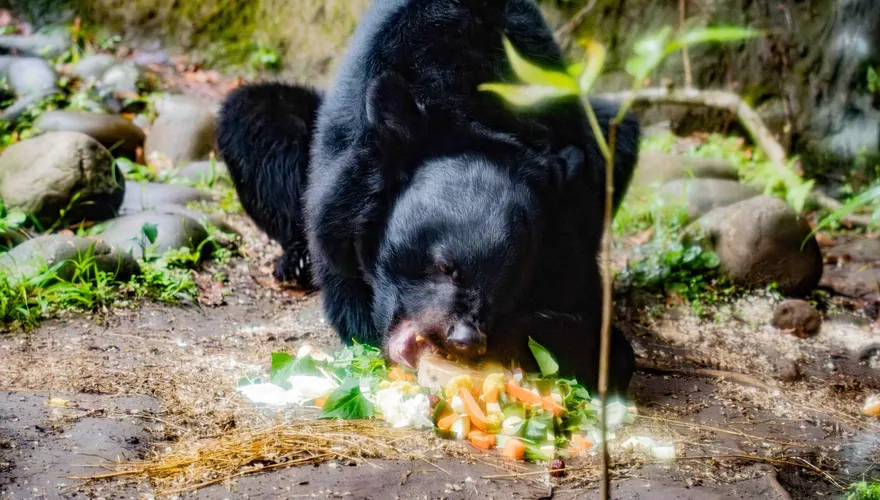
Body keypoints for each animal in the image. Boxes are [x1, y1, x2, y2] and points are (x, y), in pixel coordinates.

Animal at [217, 0, 640, 394]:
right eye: (444, 266)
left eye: (506, 284)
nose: (465, 338)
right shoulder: (341, 187)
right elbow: (344, 281)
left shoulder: (569, 203)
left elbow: (585, 311)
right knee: (253, 112)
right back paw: (296, 262)